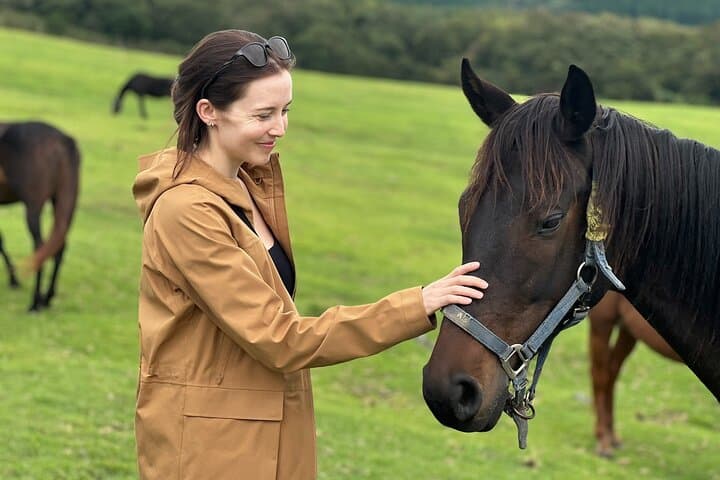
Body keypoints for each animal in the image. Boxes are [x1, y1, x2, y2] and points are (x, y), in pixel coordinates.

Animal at [0, 121, 81, 311]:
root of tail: (62, 140)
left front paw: (14, 280)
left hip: (34, 207)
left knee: (39, 247)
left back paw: (35, 303)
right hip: (59, 200)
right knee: (58, 246)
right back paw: (47, 298)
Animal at [589, 291, 680, 457]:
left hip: (628, 328)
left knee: (611, 372)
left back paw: (611, 436)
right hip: (603, 323)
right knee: (600, 376)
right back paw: (603, 440)